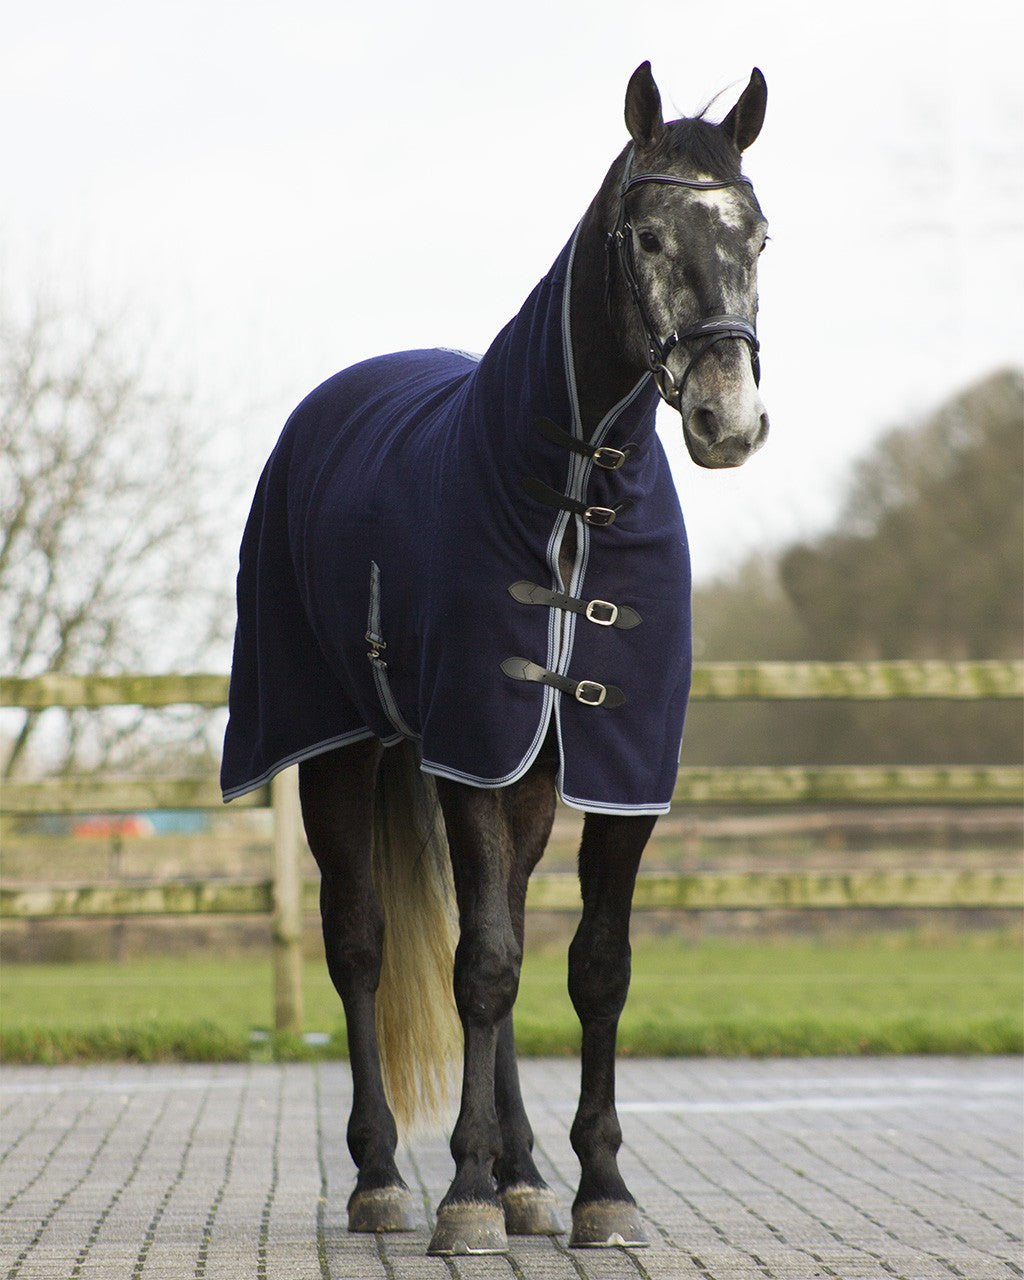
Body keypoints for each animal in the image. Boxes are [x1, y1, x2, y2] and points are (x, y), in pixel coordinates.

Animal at [221, 60, 769, 1255]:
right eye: (645, 235)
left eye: (757, 233)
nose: (727, 419)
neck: (570, 491)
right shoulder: (473, 750)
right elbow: (479, 965)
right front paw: (464, 1195)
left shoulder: (618, 770)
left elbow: (591, 968)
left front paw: (597, 1189)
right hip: (343, 750)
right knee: (363, 945)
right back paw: (384, 1176)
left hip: (522, 776)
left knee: (507, 934)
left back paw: (525, 1177)